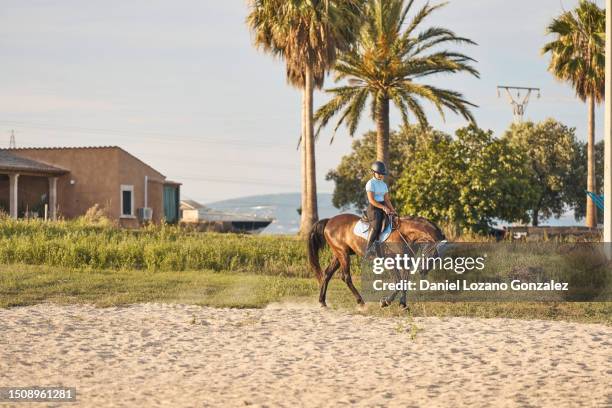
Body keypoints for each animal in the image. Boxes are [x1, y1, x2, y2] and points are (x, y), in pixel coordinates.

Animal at [306, 215, 444, 308]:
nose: (423, 271)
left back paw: (322, 302)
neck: (404, 234)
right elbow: (398, 282)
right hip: (343, 254)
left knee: (327, 274)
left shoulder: (405, 262)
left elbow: (404, 282)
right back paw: (361, 302)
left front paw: (403, 305)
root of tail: (329, 220)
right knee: (346, 277)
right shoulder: (390, 261)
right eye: (432, 253)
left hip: (338, 254)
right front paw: (385, 302)